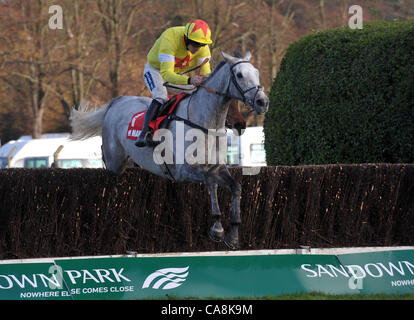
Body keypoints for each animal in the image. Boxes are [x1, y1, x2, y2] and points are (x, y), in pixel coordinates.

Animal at [69, 51, 270, 249]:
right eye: (239, 75)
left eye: (257, 72)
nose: (262, 102)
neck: (204, 123)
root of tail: (116, 102)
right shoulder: (185, 170)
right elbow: (210, 182)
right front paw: (217, 229)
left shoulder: (217, 167)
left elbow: (235, 187)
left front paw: (233, 236)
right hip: (115, 161)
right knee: (108, 163)